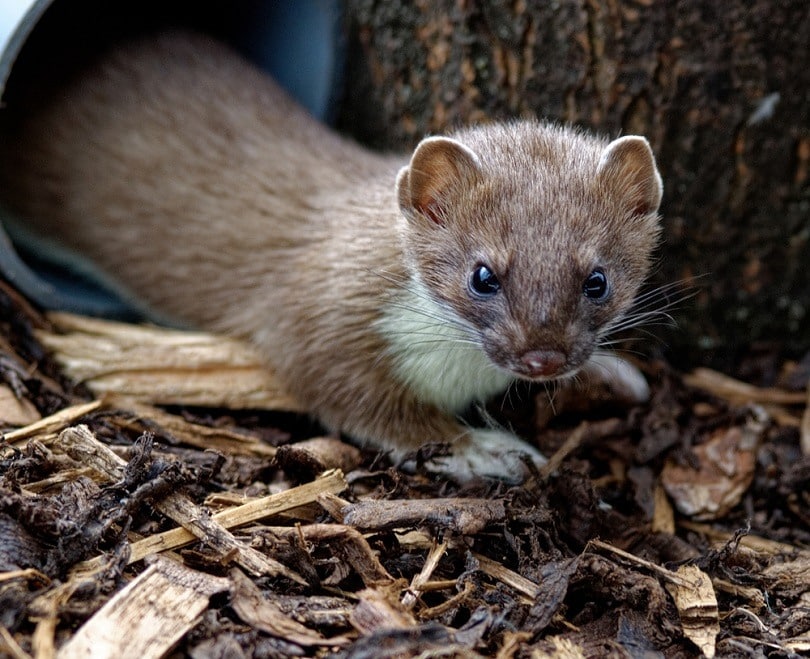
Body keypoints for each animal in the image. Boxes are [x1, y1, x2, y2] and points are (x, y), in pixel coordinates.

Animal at [0, 32, 664, 484]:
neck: (460, 370)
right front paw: (488, 449)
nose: (543, 356)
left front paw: (614, 372)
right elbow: (358, 398)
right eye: (483, 274)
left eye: (597, 279)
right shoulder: (320, 314)